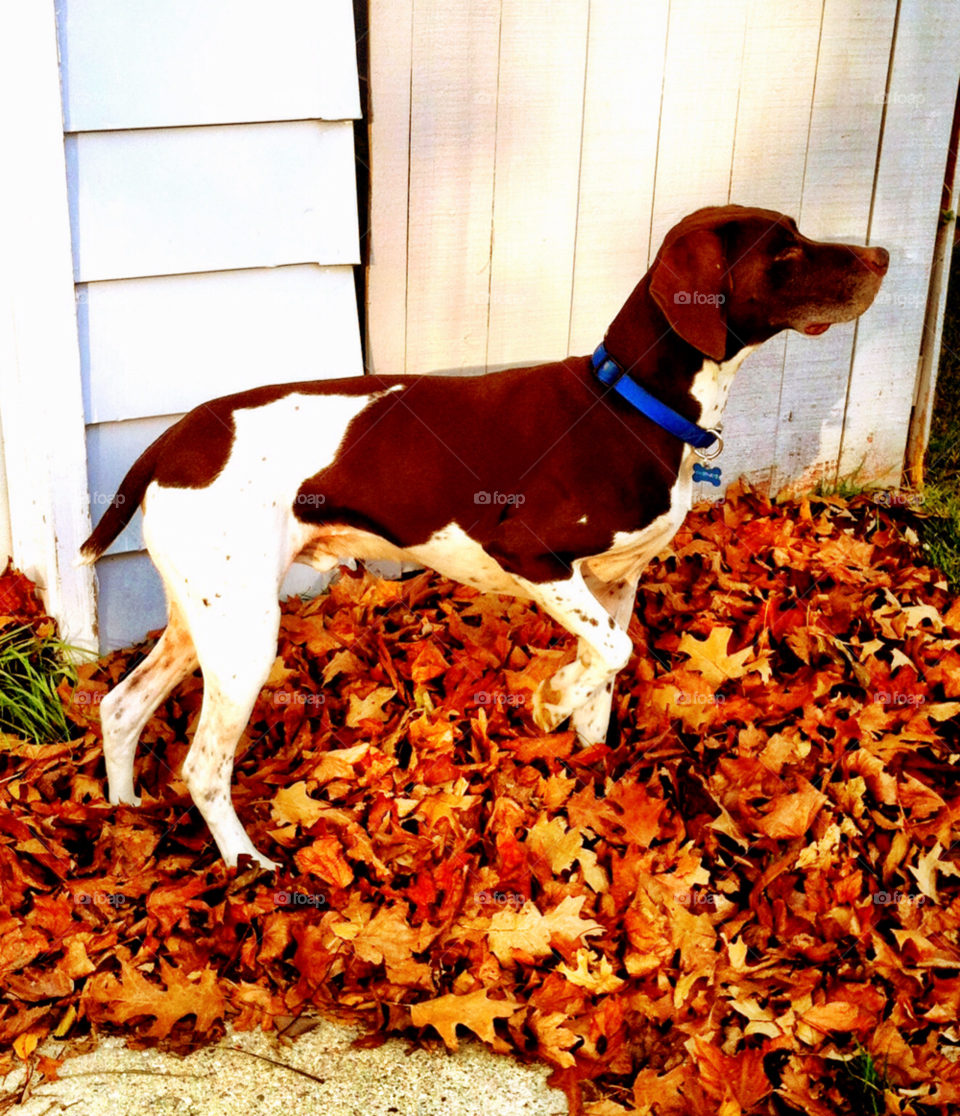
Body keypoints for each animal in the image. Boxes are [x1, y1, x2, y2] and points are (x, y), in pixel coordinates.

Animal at [78, 209, 888, 870]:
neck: (630, 406)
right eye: (784, 249)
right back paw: (249, 863)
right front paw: (551, 697)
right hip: (245, 634)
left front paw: (583, 754)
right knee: (202, 767)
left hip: (204, 618)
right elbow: (609, 657)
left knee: (120, 708)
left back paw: (124, 820)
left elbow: (605, 681)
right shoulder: (532, 555)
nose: (882, 254)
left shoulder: (616, 582)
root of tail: (170, 442)